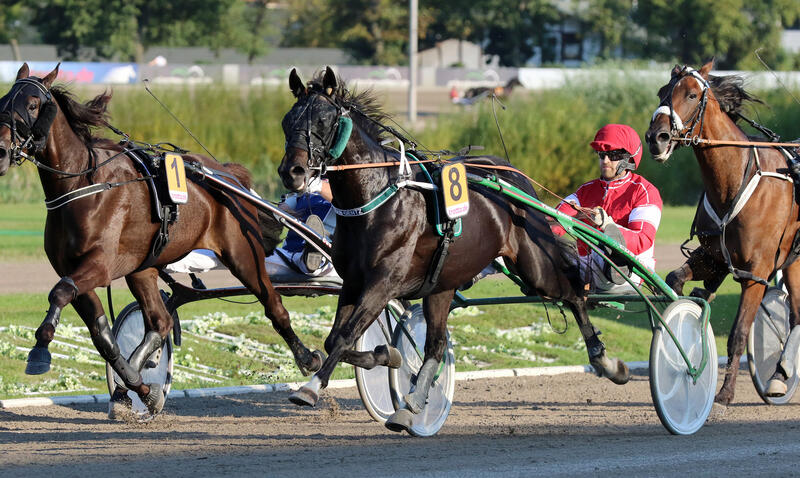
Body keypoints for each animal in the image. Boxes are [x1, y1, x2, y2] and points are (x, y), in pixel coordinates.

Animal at [0, 64, 322, 418]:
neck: (83, 184)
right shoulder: (74, 270)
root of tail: (228, 175)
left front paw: (40, 350)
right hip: (143, 269)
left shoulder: (100, 265)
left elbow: (59, 293)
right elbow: (102, 335)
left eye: (32, 104)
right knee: (161, 321)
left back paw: (308, 359)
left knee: (273, 304)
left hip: (243, 254)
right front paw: (138, 387)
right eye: (2, 101)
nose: (1, 149)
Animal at [276, 67, 632, 434]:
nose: (292, 172)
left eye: (323, 119)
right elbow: (336, 340)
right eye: (288, 121)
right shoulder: (353, 281)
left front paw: (310, 387)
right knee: (435, 345)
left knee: (574, 293)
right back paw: (412, 405)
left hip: (534, 266)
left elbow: (346, 337)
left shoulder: (382, 283)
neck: (378, 198)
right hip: (442, 285)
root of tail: (510, 174)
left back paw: (606, 362)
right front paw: (386, 355)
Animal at [644, 58, 800, 404]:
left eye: (691, 94)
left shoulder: (757, 271)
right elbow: (677, 279)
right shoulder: (712, 257)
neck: (734, 178)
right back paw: (779, 376)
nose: (657, 137)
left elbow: (739, 334)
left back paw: (780, 374)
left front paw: (725, 393)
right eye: (661, 92)